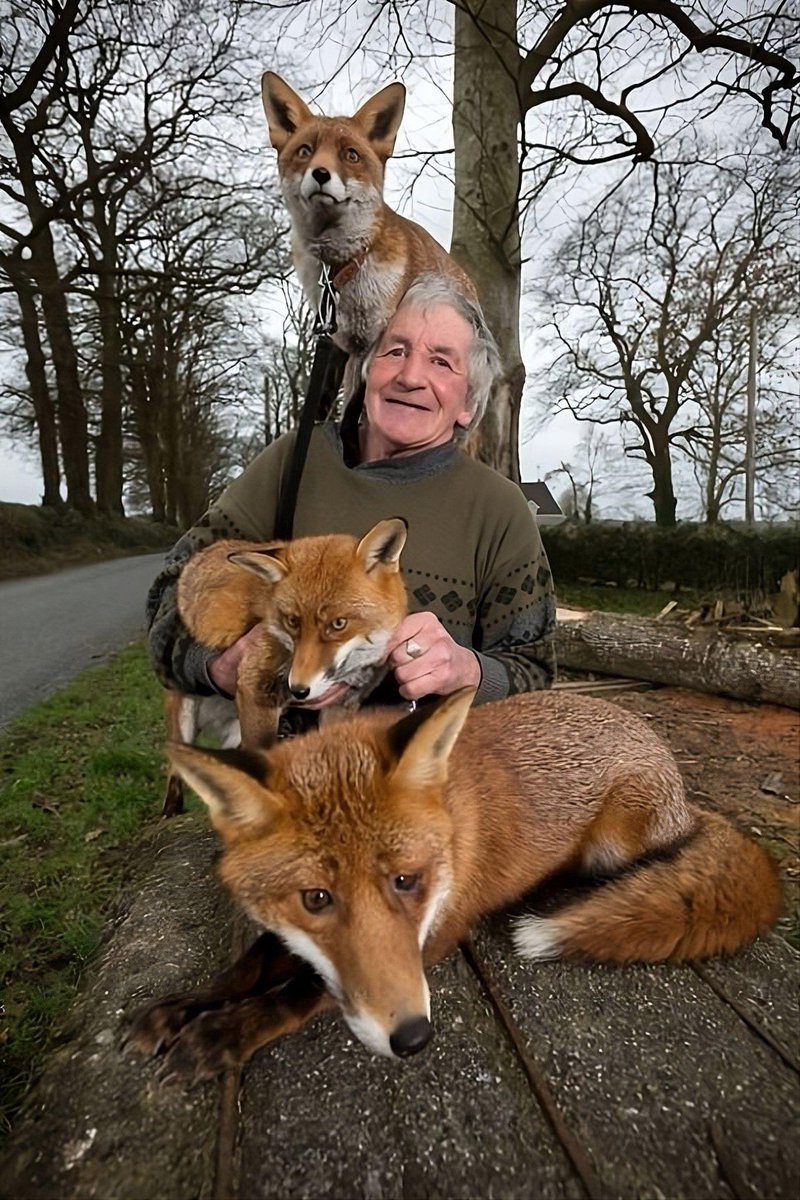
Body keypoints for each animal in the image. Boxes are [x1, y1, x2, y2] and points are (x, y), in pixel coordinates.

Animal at [126, 686, 782, 1080]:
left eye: (406, 881)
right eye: (316, 899)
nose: (413, 1037)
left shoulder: (438, 933)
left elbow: (302, 990)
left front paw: (224, 1032)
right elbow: (256, 964)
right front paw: (188, 1005)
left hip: (619, 840)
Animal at [161, 520, 407, 820]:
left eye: (338, 624)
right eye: (292, 621)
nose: (298, 690)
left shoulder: (341, 705)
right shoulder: (257, 690)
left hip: (234, 734)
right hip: (185, 720)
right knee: (176, 768)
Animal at [261, 70, 474, 357]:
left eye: (351, 155)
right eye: (305, 150)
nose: (321, 174)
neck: (340, 265)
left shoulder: (376, 340)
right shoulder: (343, 344)